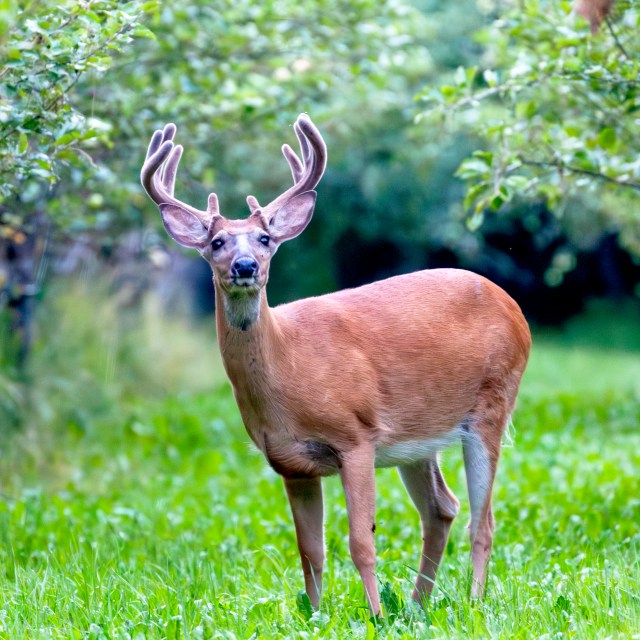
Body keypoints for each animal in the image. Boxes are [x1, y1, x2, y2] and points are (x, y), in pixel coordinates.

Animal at [140, 114, 531, 616]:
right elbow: (310, 549)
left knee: (482, 521)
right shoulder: (291, 463)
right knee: (441, 508)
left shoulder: (356, 435)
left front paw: (375, 615)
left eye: (265, 239)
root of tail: (514, 308)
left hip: (492, 404)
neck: (290, 368)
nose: (245, 266)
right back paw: (418, 604)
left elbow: (360, 541)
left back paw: (473, 602)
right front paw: (315, 615)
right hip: (418, 438)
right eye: (216, 242)